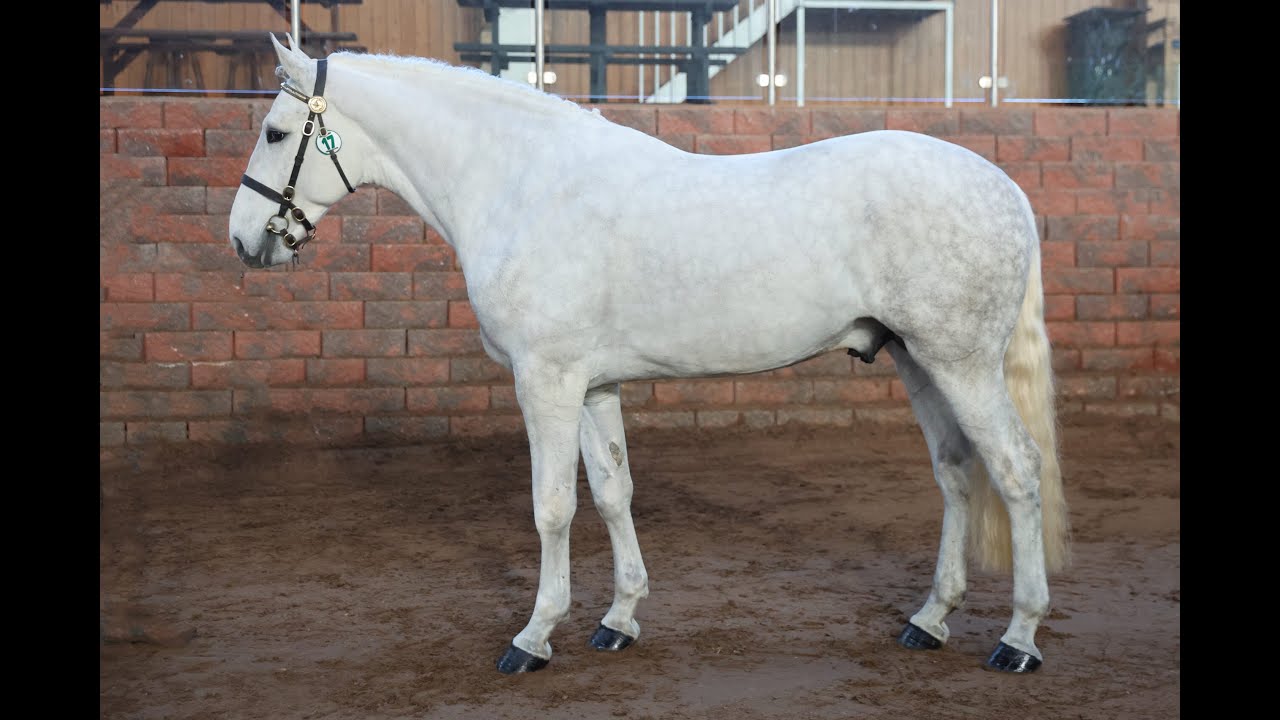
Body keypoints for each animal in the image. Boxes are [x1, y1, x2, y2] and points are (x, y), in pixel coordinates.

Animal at [228, 34, 1071, 676]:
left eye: (274, 133)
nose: (242, 241)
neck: (523, 184)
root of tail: (1004, 186)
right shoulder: (593, 388)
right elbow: (612, 495)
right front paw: (619, 619)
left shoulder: (547, 382)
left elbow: (552, 507)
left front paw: (534, 637)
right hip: (917, 360)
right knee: (956, 473)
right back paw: (929, 619)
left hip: (960, 364)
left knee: (1016, 471)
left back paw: (1018, 639)